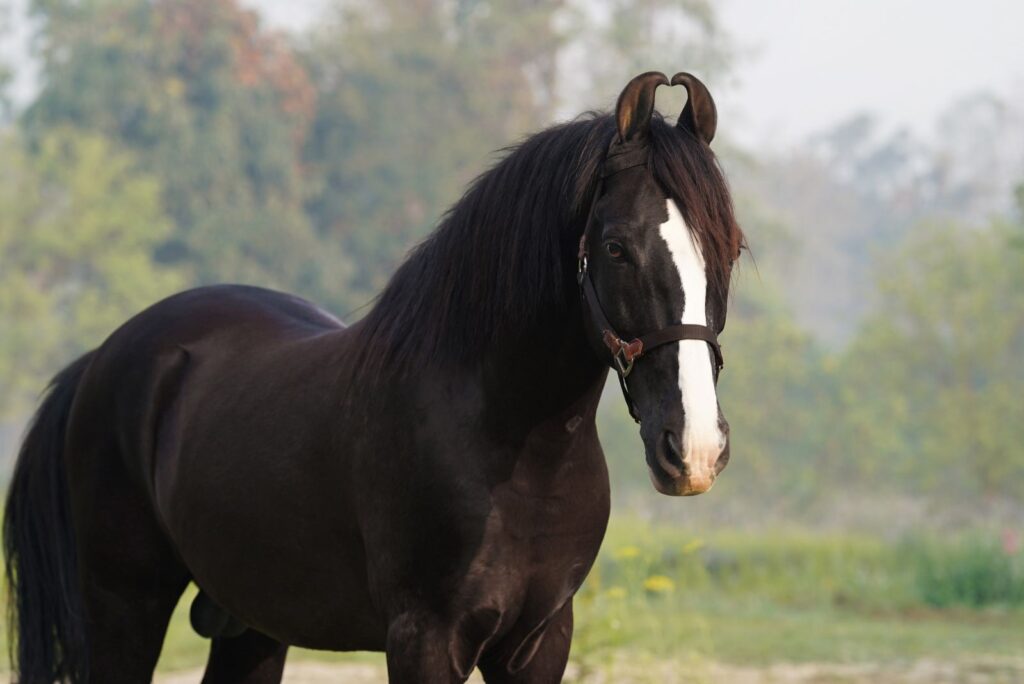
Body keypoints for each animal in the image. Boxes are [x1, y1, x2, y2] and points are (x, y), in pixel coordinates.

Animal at [2, 72, 745, 679]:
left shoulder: (539, 642)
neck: (509, 444)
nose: (694, 450)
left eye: (729, 246)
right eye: (616, 247)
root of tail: (104, 359)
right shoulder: (425, 639)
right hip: (125, 606)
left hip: (250, 625)